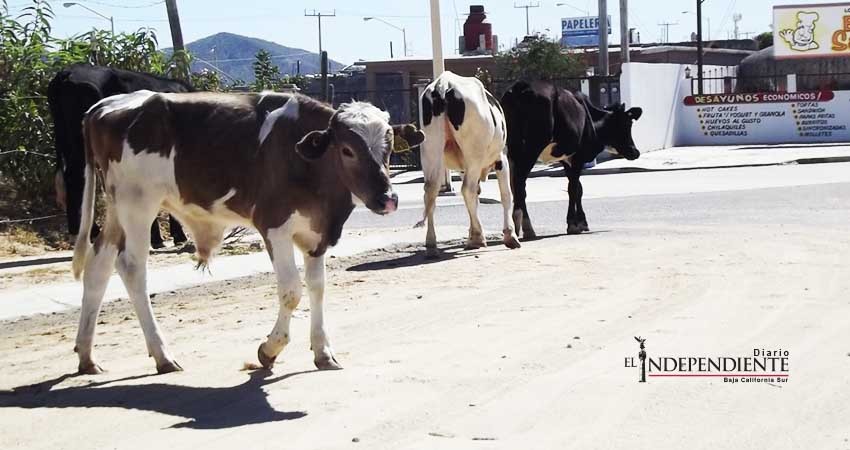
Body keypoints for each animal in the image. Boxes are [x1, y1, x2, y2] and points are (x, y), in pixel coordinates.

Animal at [73, 89, 424, 374]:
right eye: (347, 150)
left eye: (389, 148)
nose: (388, 198)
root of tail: (104, 105)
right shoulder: (274, 226)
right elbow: (292, 291)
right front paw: (270, 350)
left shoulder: (317, 234)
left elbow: (318, 287)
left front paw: (323, 351)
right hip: (138, 204)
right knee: (131, 268)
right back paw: (162, 355)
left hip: (116, 206)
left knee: (98, 266)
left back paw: (87, 357)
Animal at [420, 72, 520, 258]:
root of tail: (443, 84)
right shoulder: (501, 157)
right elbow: (505, 195)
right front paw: (509, 235)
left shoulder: (462, 168)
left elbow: (475, 199)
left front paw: (472, 233)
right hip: (474, 154)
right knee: (467, 189)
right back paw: (477, 239)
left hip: (430, 150)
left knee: (431, 191)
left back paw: (431, 244)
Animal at [500, 79, 640, 237]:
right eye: (627, 124)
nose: (635, 152)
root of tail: (521, 86)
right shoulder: (578, 157)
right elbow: (573, 188)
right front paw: (573, 224)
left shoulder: (566, 159)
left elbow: (578, 188)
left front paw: (582, 222)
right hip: (530, 149)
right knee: (520, 184)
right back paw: (526, 226)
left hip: (512, 149)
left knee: (514, 185)